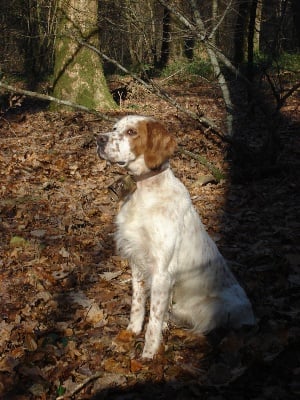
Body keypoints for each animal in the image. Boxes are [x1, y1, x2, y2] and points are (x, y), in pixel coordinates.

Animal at [96, 114, 255, 358]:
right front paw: (131, 333)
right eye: (114, 128)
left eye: (132, 132)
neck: (145, 192)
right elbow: (138, 304)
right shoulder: (137, 261)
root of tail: (251, 316)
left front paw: (148, 355)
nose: (99, 139)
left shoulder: (162, 271)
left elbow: (153, 321)